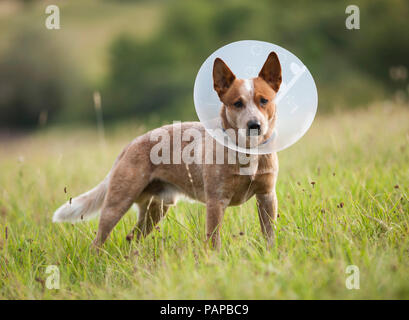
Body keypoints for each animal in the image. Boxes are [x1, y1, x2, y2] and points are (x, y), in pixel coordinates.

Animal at [53, 52, 280, 250]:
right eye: (237, 103)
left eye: (264, 100)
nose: (254, 125)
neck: (248, 152)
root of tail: (130, 145)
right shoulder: (216, 201)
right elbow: (213, 241)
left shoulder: (267, 196)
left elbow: (269, 235)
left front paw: (271, 255)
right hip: (117, 203)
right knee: (98, 241)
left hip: (157, 208)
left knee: (132, 237)